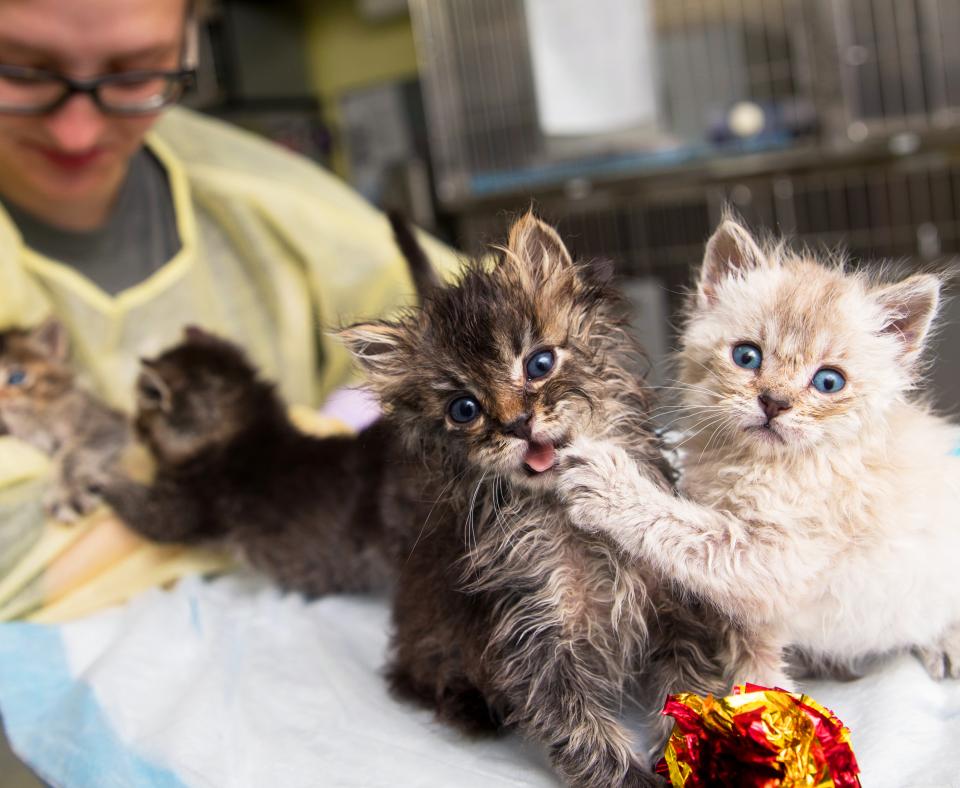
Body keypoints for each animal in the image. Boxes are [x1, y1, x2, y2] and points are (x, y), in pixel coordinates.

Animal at [94, 324, 428, 592]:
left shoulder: (180, 507)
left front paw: (101, 478)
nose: (135, 426)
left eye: (142, 413)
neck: (248, 433)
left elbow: (143, 510)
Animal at [560, 217, 960, 688]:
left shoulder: (779, 560)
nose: (774, 402)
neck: (756, 465)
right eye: (747, 356)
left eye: (828, 382)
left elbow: (686, 529)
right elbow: (750, 647)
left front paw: (607, 485)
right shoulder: (750, 609)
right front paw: (758, 688)